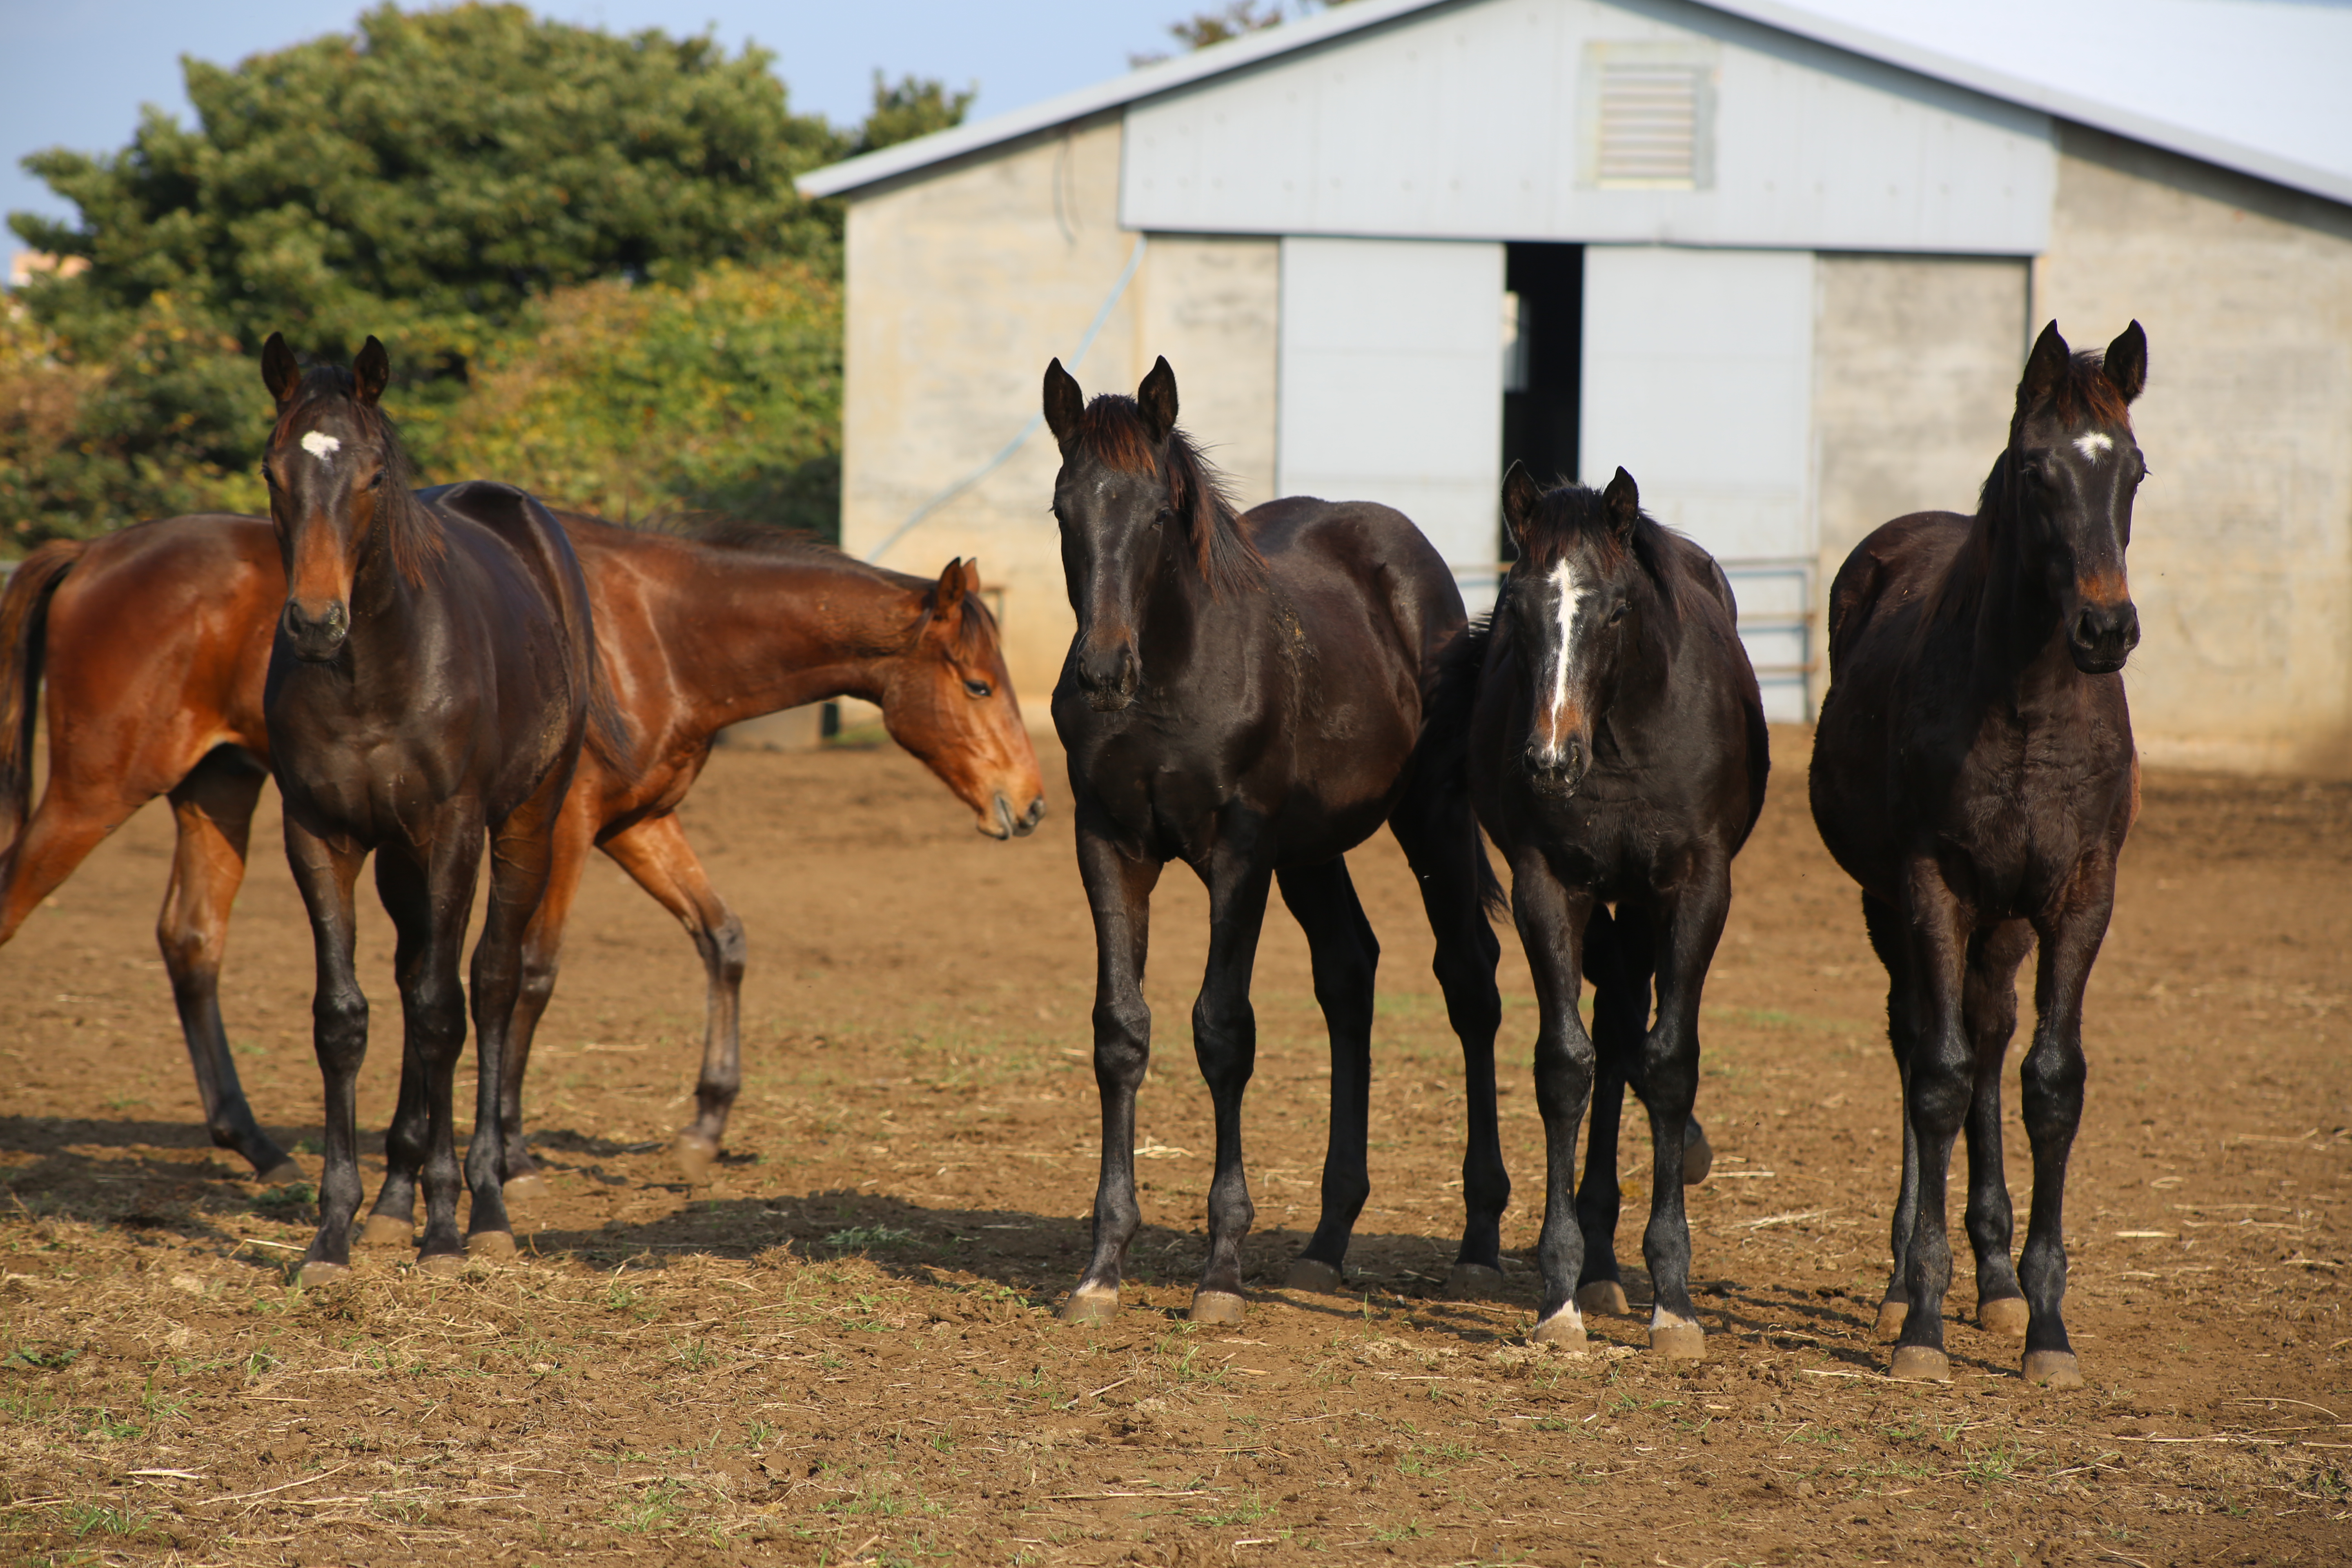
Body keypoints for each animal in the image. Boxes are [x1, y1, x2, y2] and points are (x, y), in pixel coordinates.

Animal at [0, 472, 1049, 1194]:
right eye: (977, 684)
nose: (1031, 802)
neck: (656, 628)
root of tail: (94, 552)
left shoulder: (638, 823)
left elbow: (722, 937)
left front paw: (703, 1125)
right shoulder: (567, 825)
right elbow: (533, 975)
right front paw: (508, 1151)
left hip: (216, 787)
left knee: (192, 940)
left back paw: (257, 1147)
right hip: (96, 791)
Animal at [257, 331, 602, 1278]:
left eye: (375, 475)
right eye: (272, 471)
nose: (315, 621)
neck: (373, 669)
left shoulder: (453, 828)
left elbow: (447, 1010)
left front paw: (448, 1228)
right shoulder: (321, 834)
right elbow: (345, 1019)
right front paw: (334, 1232)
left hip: (525, 822)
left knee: (488, 983)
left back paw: (482, 1203)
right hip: (400, 859)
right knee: (416, 972)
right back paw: (393, 1199)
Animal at [1044, 355, 1505, 1326]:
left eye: (1158, 513)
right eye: (1064, 511)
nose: (1102, 669)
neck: (1172, 675)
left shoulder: (1239, 854)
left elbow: (1223, 1030)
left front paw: (1220, 1273)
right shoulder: (1106, 844)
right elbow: (1121, 1032)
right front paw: (1102, 1268)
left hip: (1431, 818)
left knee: (1469, 981)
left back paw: (1480, 1245)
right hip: (1314, 852)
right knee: (1350, 975)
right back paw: (1327, 1243)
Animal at [1449, 465, 1768, 1363]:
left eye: (1617, 610)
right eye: (1518, 606)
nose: (1551, 760)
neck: (1624, 743)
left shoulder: (1697, 888)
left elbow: (1671, 1064)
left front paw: (1677, 1302)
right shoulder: (1549, 886)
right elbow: (1568, 1065)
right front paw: (1560, 1296)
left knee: (1635, 1040)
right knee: (1615, 1029)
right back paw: (1594, 1262)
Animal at [1797, 319, 2154, 1382]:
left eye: (2133, 469)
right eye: (2036, 470)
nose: (2104, 628)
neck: (2029, 704)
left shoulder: (2080, 896)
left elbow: (2048, 1081)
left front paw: (2044, 1324)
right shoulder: (1930, 886)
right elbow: (1938, 1076)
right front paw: (1919, 1320)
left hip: (2005, 921)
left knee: (1991, 1032)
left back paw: (1994, 1280)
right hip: (1895, 904)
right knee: (1923, 1039)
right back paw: (1898, 1285)